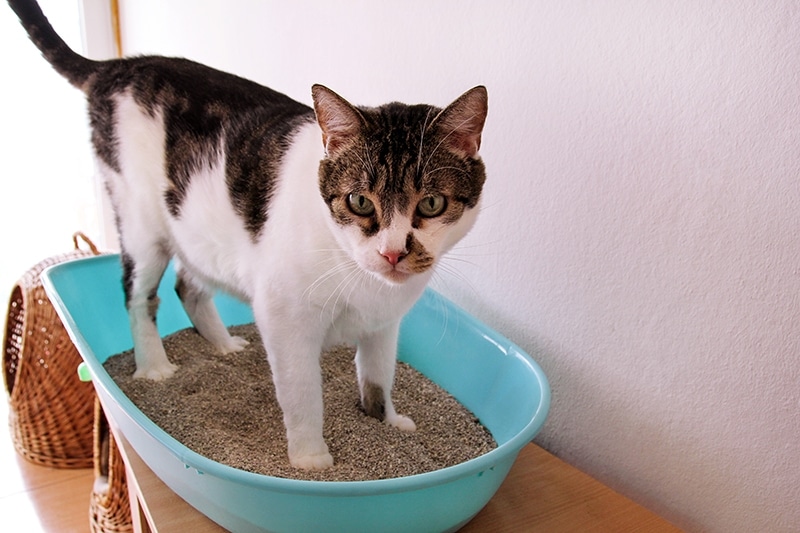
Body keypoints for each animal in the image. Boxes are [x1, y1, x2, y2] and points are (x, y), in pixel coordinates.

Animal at [9, 0, 488, 468]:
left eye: (431, 204)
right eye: (359, 202)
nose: (392, 253)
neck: (358, 272)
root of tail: (120, 66)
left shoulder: (383, 326)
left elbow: (378, 377)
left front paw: (385, 423)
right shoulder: (284, 320)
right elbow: (303, 394)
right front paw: (311, 459)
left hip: (197, 233)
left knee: (188, 286)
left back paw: (221, 346)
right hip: (142, 224)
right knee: (138, 294)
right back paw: (154, 367)